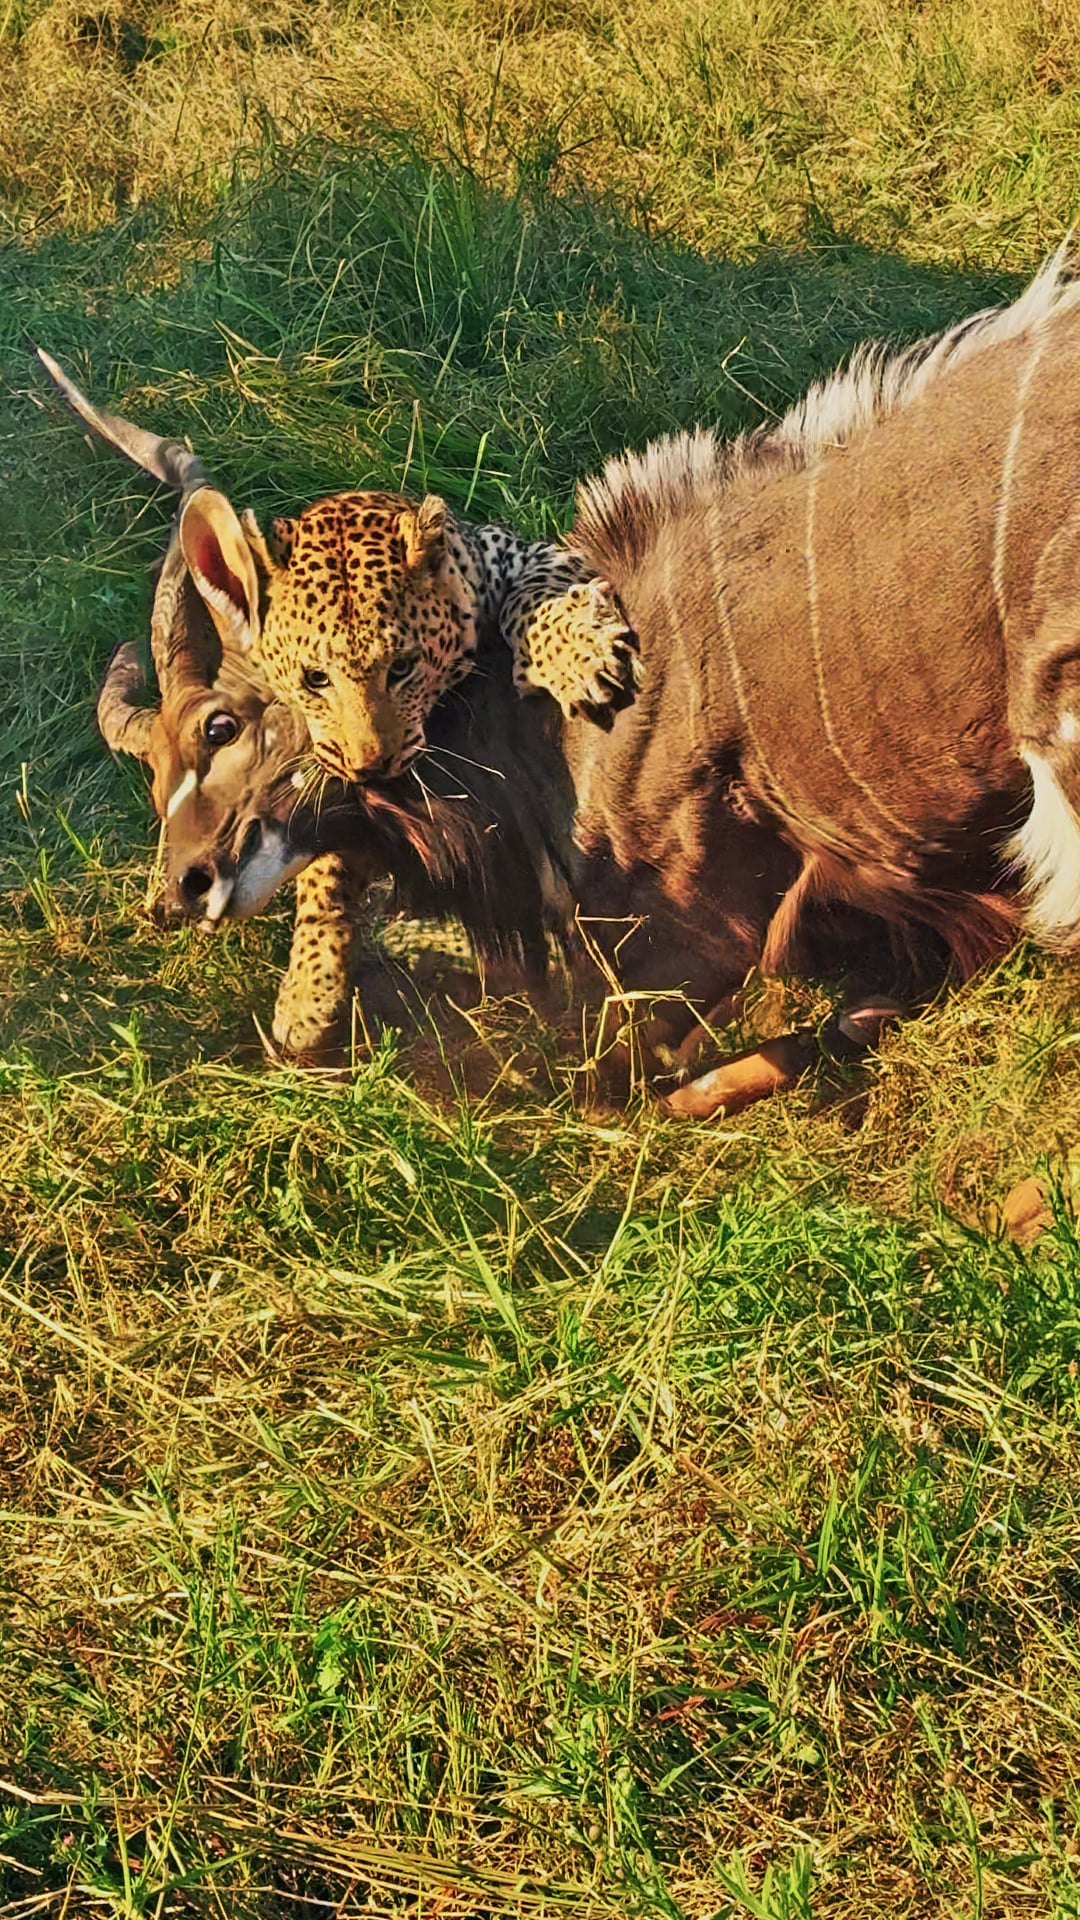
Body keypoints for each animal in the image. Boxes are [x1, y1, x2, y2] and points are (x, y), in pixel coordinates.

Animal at [178, 484, 641, 784]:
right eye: (315, 678)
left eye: (402, 668)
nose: (370, 769)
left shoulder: (527, 553)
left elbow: (530, 599)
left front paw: (585, 661)